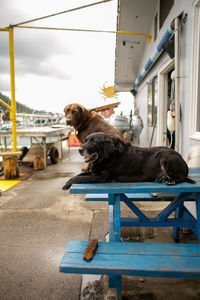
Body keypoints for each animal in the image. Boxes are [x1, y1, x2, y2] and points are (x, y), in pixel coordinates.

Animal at [62, 132, 194, 189]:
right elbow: (79, 174)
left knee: (182, 177)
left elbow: (79, 178)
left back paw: (171, 181)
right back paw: (163, 178)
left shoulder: (102, 178)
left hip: (165, 157)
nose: (79, 150)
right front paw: (68, 180)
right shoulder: (95, 173)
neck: (108, 157)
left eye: (93, 142)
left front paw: (67, 184)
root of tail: (182, 159)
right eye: (86, 140)